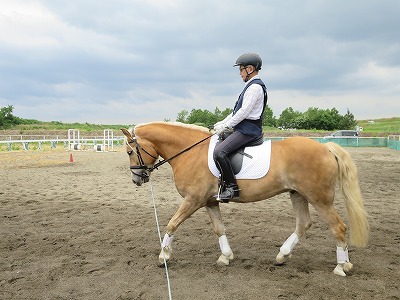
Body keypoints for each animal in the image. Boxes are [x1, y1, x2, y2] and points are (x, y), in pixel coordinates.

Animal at [121, 121, 368, 276]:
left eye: (130, 151)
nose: (137, 179)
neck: (189, 152)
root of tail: (326, 148)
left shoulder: (193, 200)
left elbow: (172, 224)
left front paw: (163, 256)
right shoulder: (209, 202)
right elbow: (219, 228)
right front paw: (225, 257)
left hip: (319, 198)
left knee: (338, 227)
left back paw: (341, 267)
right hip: (298, 194)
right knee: (303, 224)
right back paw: (282, 255)